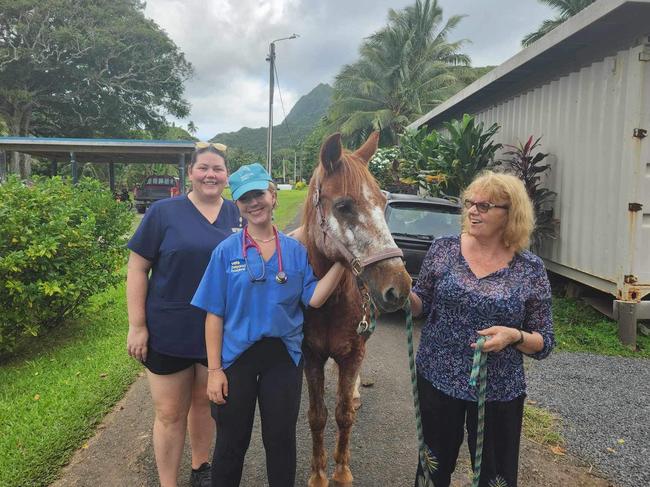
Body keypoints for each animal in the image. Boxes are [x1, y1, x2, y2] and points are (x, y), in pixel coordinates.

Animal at [300, 132, 410, 486]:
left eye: (383, 204)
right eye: (344, 206)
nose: (400, 287)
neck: (329, 302)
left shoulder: (353, 354)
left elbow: (344, 415)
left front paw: (342, 471)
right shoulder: (311, 356)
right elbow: (318, 416)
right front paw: (319, 474)